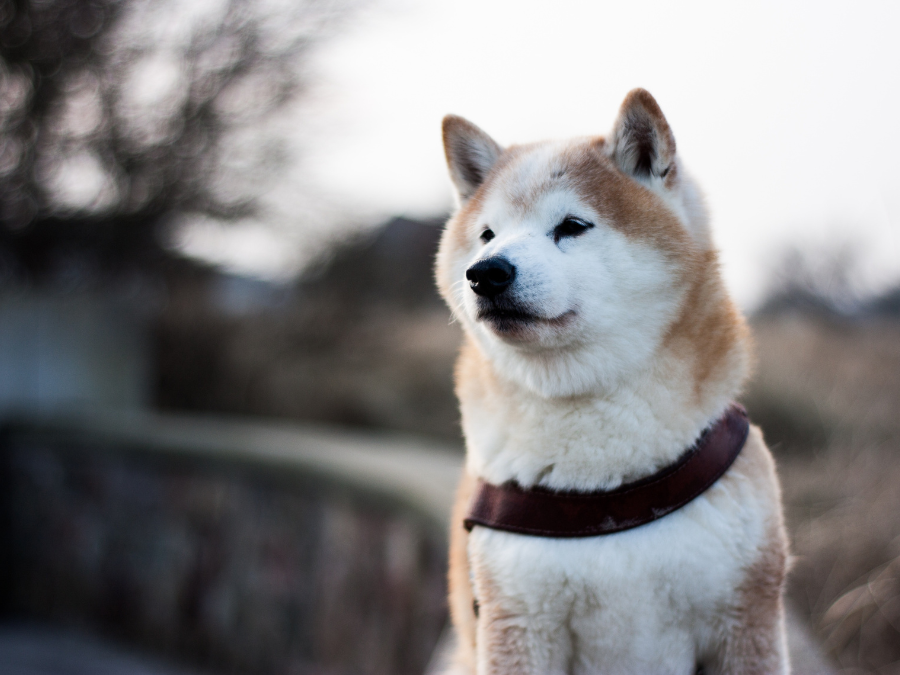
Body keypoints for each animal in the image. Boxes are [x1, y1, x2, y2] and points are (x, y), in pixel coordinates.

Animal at [434, 90, 788, 675]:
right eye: (487, 234)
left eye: (572, 226)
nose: (485, 272)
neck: (603, 489)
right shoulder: (519, 620)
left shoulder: (745, 616)